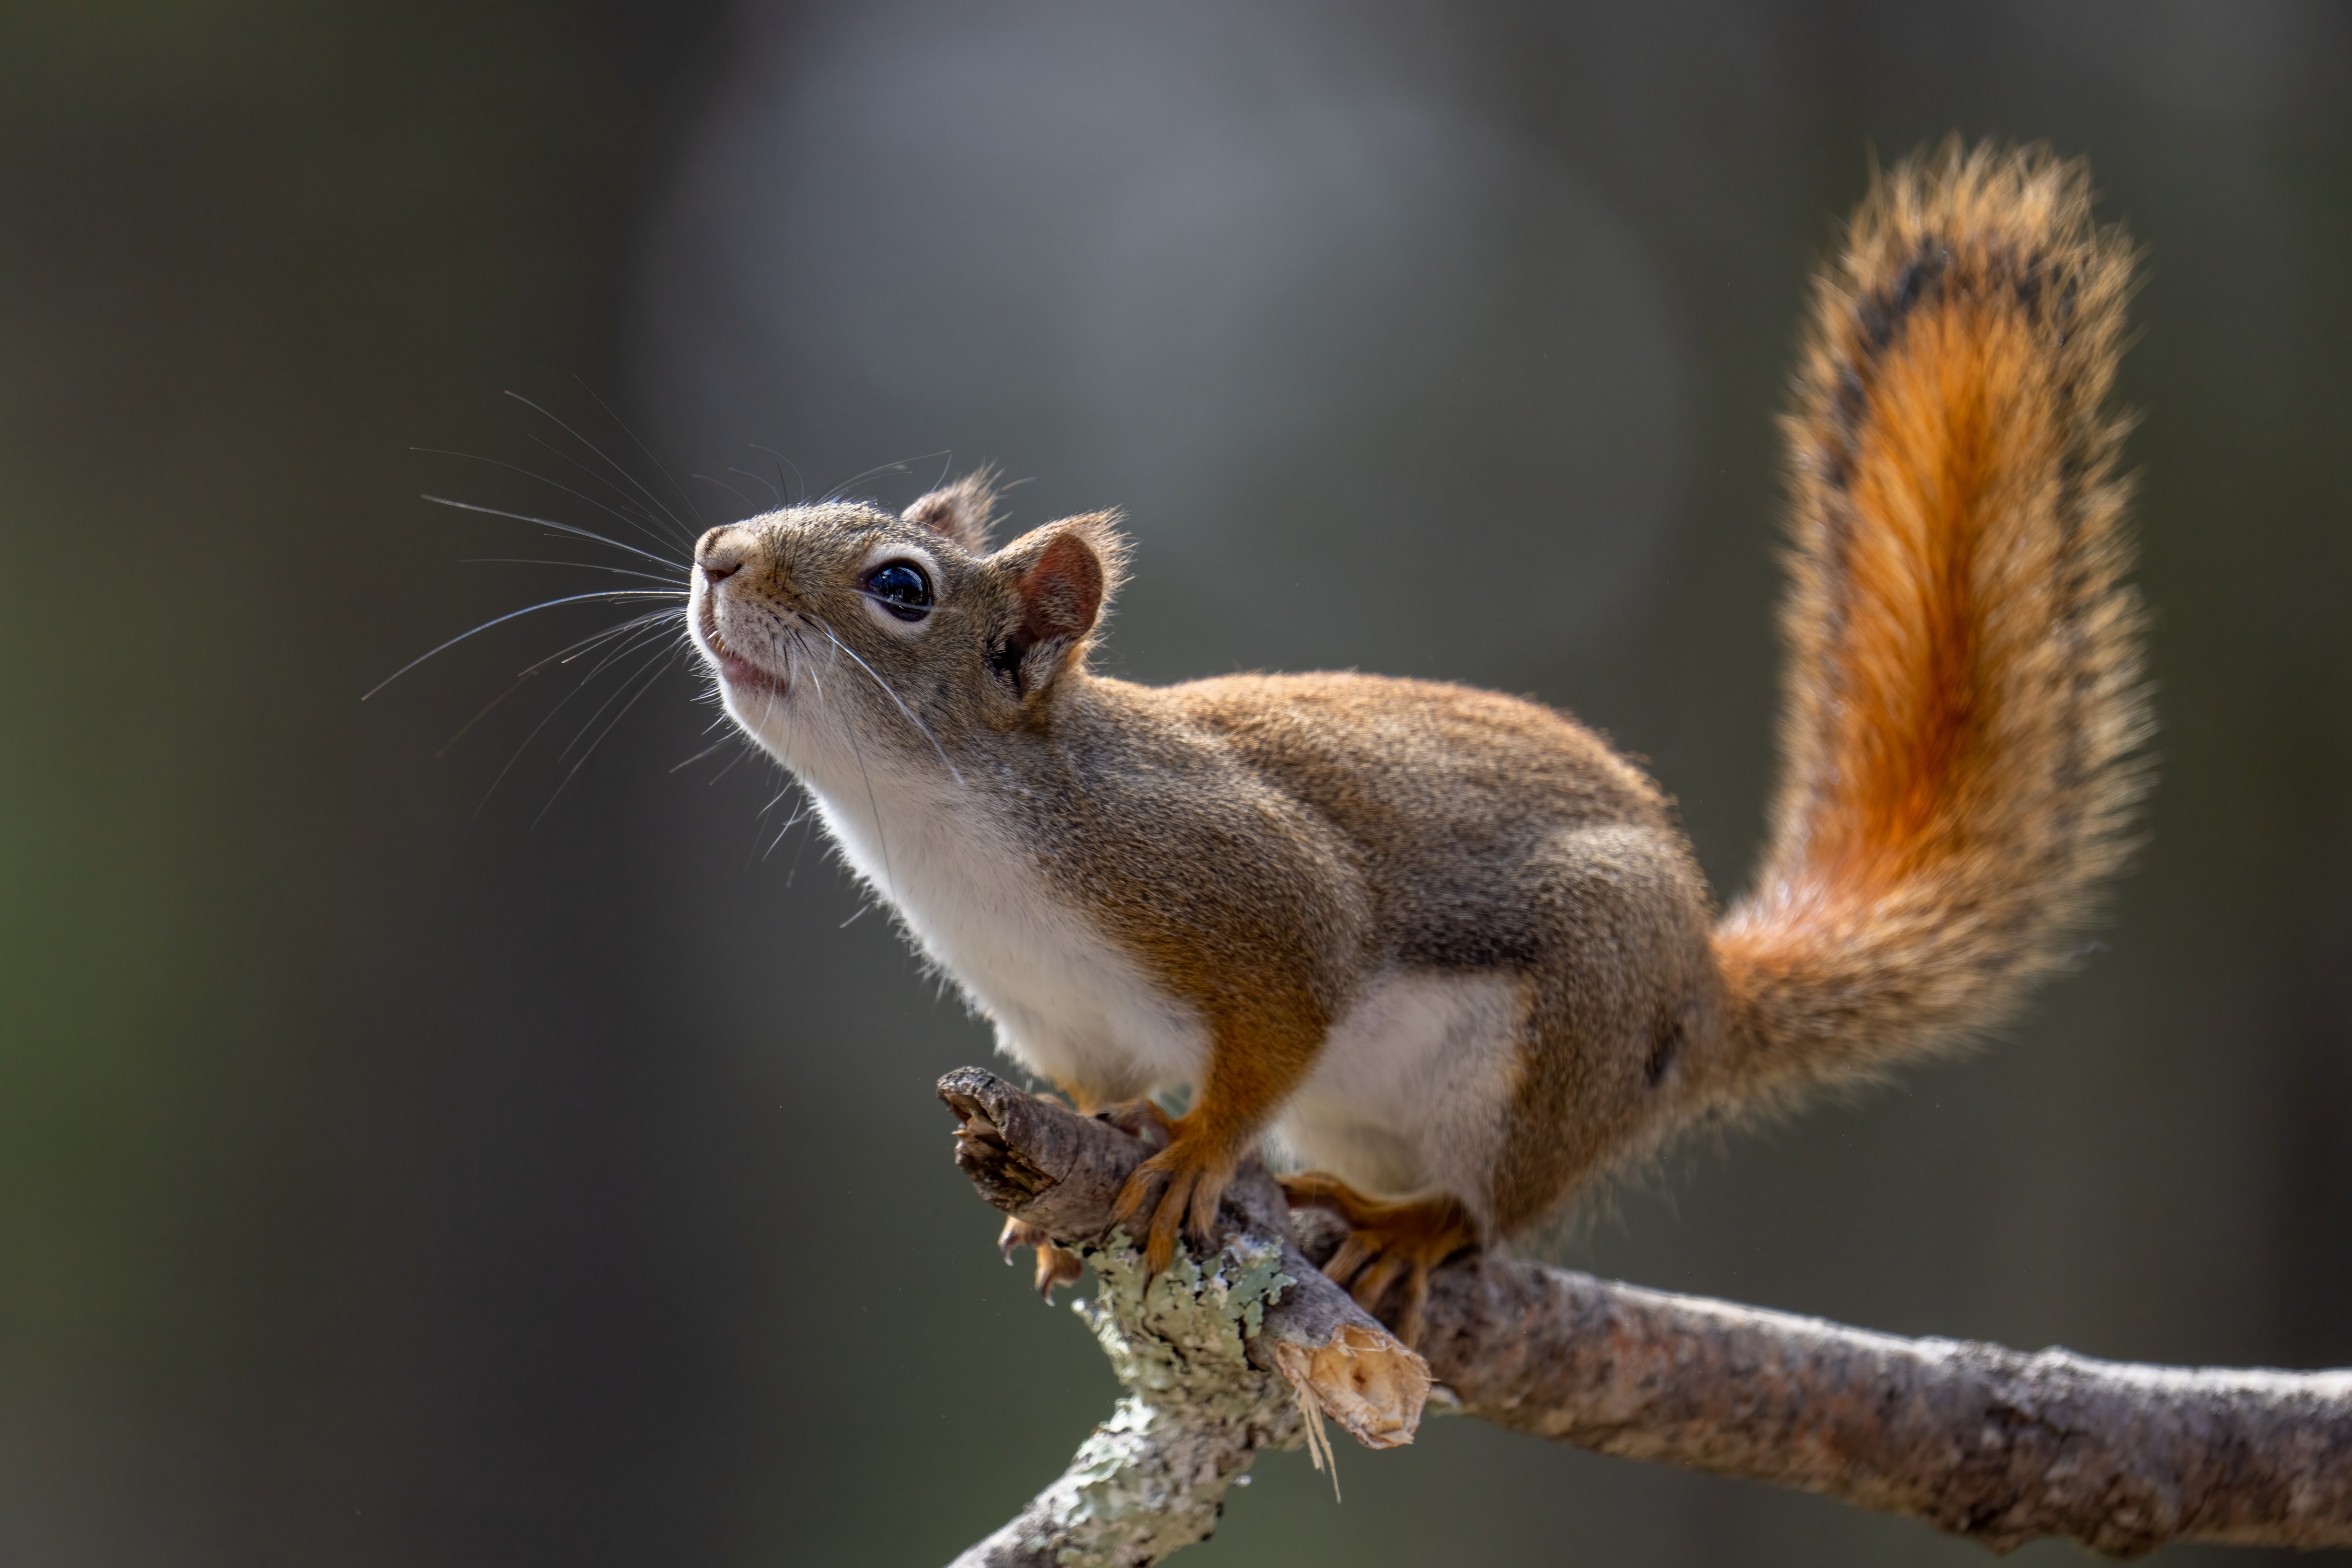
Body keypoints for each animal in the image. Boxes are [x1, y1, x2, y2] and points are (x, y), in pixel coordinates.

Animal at [686, 141, 2149, 1345]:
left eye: (901, 588)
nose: (716, 553)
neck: (947, 830)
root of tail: (1703, 996)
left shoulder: (1235, 882)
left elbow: (1285, 1006)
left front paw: (1198, 1152)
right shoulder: (1055, 1020)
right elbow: (1098, 1092)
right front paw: (1091, 1172)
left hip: (1564, 1037)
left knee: (1496, 1210)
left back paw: (1414, 1223)